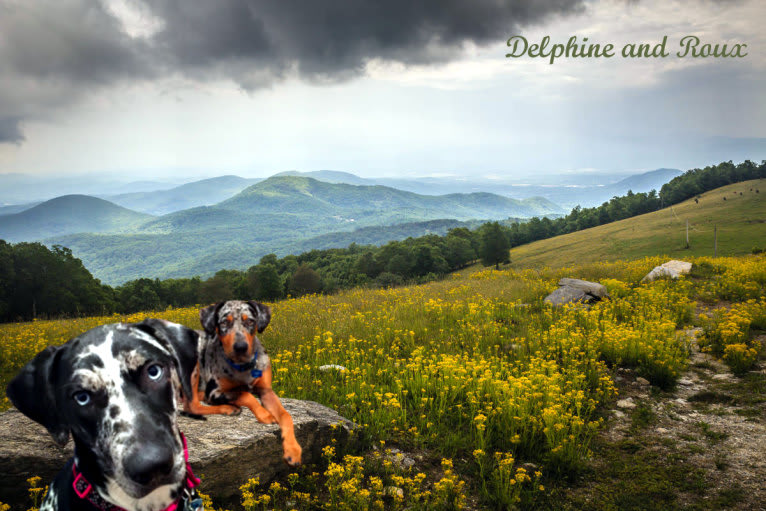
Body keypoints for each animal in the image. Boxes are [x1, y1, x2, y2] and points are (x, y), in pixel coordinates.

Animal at [185, 300, 304, 468]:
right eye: (224, 322)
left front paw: (293, 450)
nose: (240, 347)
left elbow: (286, 415)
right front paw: (265, 414)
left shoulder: (267, 391)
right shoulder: (216, 392)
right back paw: (228, 408)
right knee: (192, 404)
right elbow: (246, 395)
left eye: (250, 321)